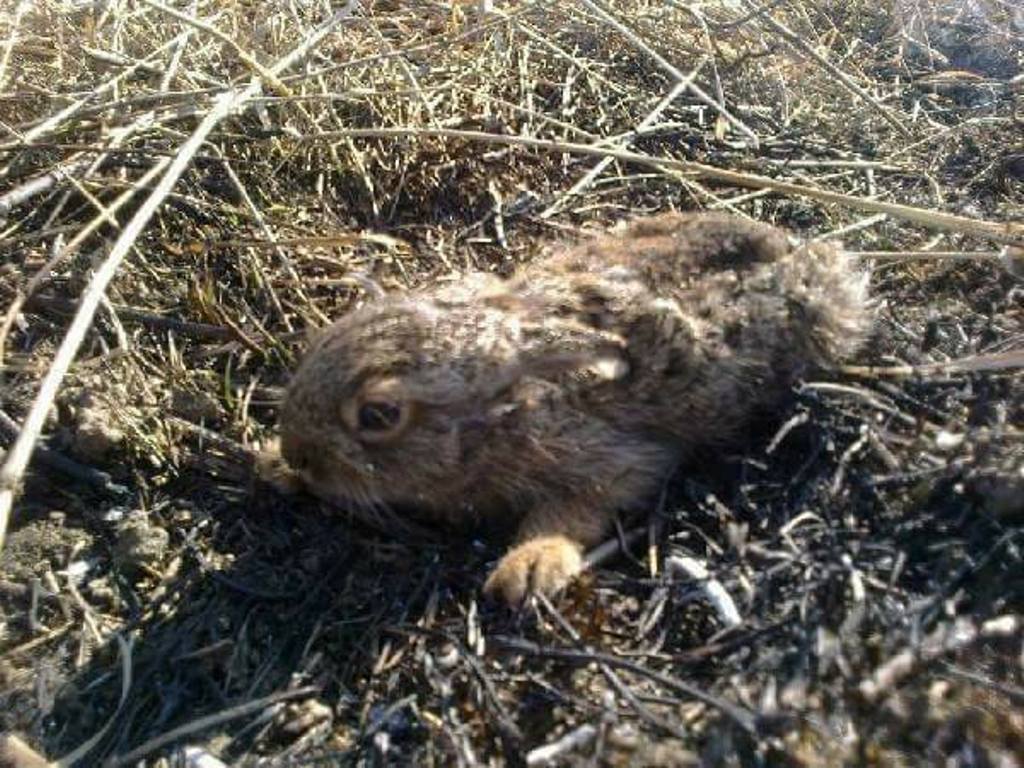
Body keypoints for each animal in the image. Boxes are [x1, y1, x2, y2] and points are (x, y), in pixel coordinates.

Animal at [272, 211, 872, 606]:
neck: (508, 411)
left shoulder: (616, 459)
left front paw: (527, 569)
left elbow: (582, 506)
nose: (296, 454)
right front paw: (272, 467)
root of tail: (791, 249)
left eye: (377, 416)